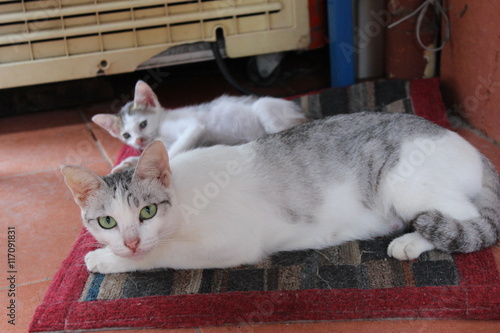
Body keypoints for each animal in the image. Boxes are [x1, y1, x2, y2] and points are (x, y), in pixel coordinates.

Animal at [62, 111, 500, 272]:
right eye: (107, 221)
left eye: (147, 212)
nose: (131, 241)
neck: (184, 201)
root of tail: (477, 152)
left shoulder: (230, 244)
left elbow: (163, 255)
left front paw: (105, 259)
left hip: (405, 186)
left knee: (467, 221)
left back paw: (409, 242)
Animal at [92, 79, 306, 170]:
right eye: (126, 135)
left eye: (143, 124)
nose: (139, 141)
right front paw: (131, 161)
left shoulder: (194, 127)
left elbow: (174, 150)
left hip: (265, 109)